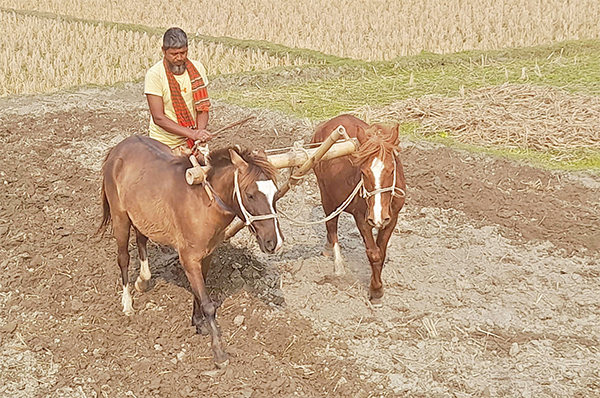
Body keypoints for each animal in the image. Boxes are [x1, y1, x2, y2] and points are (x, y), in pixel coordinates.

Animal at [99, 136, 284, 366]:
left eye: (275, 193)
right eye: (250, 195)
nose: (274, 242)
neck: (203, 202)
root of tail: (118, 148)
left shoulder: (207, 255)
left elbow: (199, 293)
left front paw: (197, 322)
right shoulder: (189, 258)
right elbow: (207, 303)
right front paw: (218, 352)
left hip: (142, 215)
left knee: (141, 238)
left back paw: (143, 279)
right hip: (120, 218)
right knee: (123, 258)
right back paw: (127, 303)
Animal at [312, 115, 406, 308]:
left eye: (391, 170)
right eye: (363, 172)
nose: (377, 217)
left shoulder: (392, 218)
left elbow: (381, 251)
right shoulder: (362, 218)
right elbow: (374, 253)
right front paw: (376, 291)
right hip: (326, 193)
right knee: (331, 223)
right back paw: (337, 262)